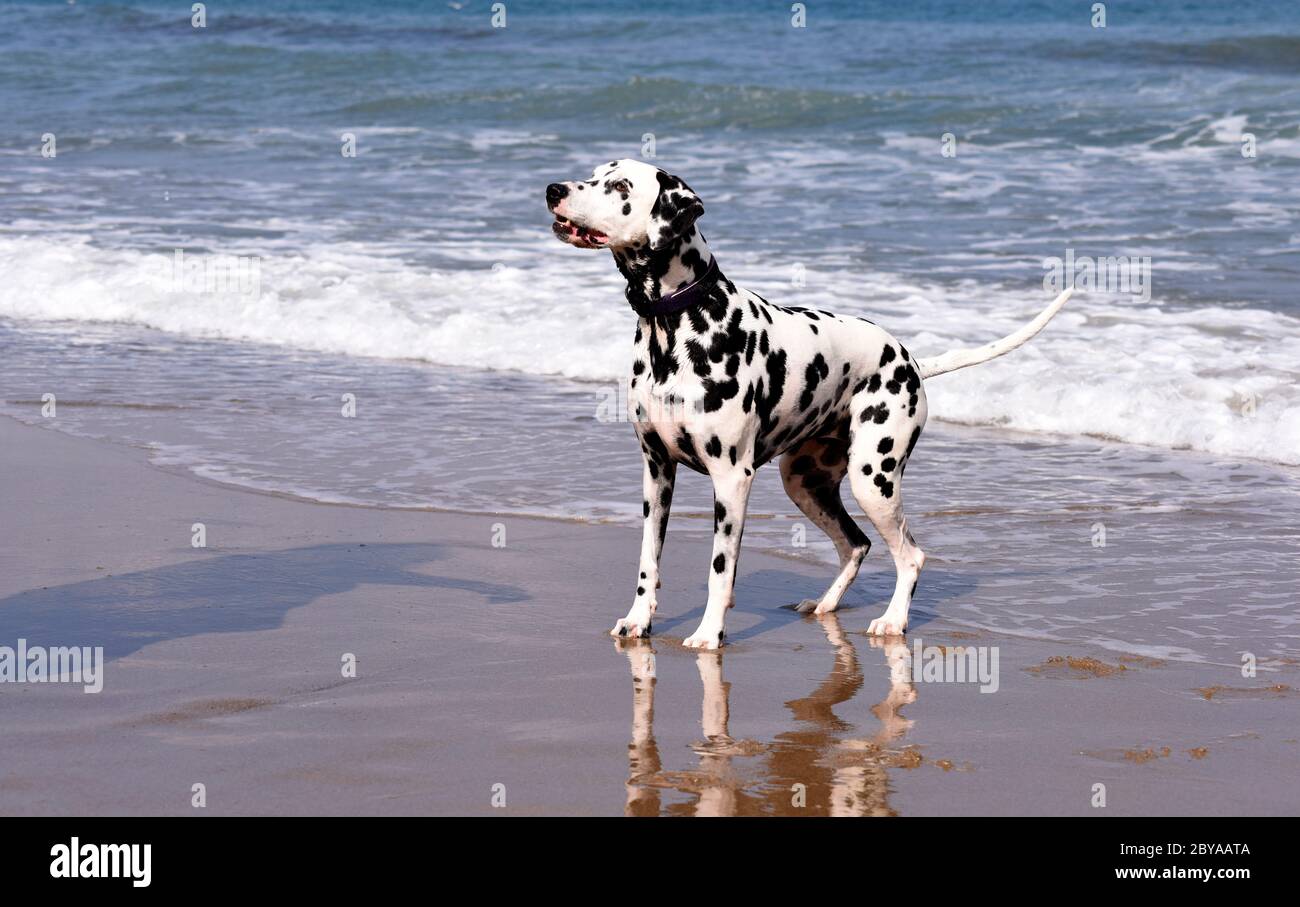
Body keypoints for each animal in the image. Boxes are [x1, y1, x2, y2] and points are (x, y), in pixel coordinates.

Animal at [543, 159, 1071, 647]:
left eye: (620, 185)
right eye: (594, 173)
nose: (553, 189)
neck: (678, 324)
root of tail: (912, 360)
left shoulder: (732, 479)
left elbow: (721, 570)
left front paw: (710, 633)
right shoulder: (656, 473)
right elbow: (647, 563)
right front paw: (638, 621)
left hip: (872, 480)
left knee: (910, 554)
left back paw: (893, 621)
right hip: (805, 482)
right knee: (856, 545)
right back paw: (825, 604)